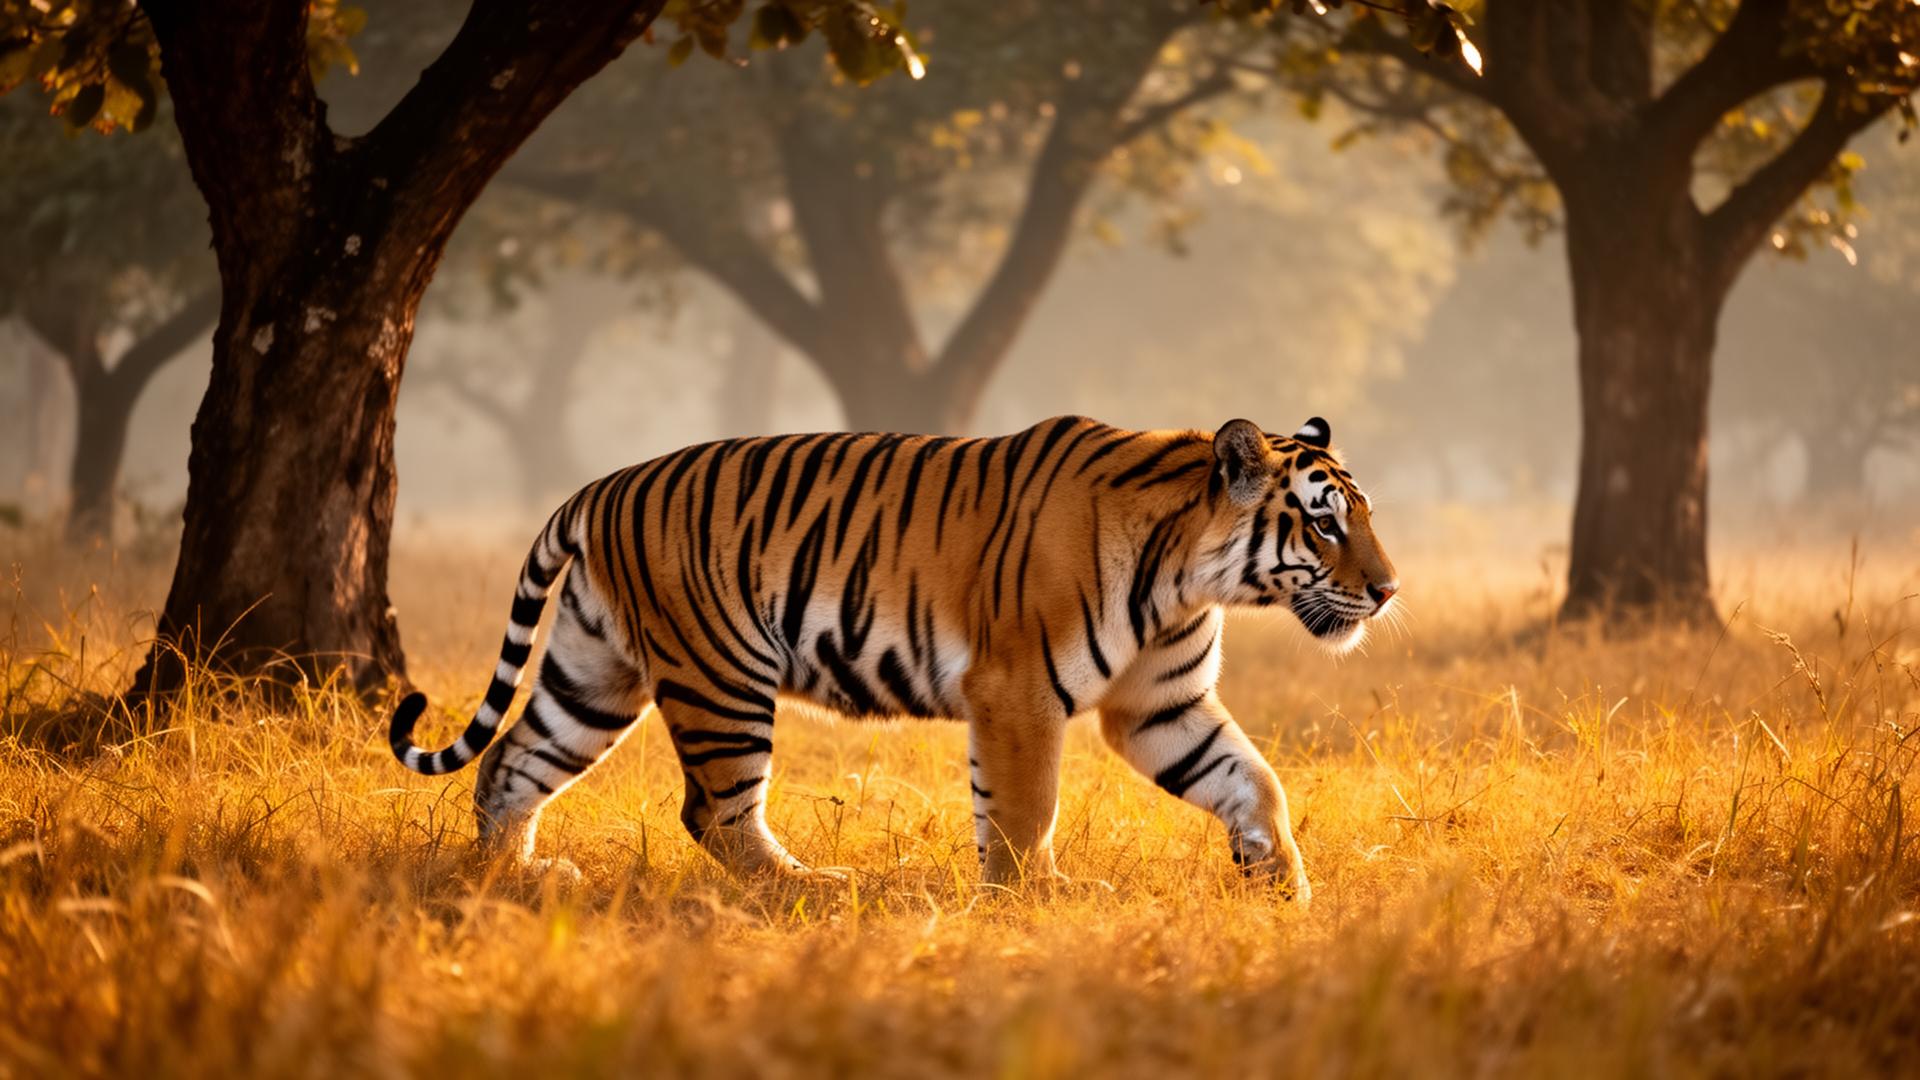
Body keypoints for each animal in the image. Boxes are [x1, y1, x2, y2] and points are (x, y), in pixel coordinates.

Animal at [389, 414, 1399, 900]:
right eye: (1323, 522)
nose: (1390, 590)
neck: (1193, 574)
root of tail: (601, 486)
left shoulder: (1160, 704)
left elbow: (1252, 780)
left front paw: (1283, 884)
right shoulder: (1018, 691)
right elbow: (1026, 809)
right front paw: (1037, 900)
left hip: (595, 673)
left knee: (510, 763)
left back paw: (512, 880)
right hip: (721, 677)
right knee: (715, 813)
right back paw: (808, 889)